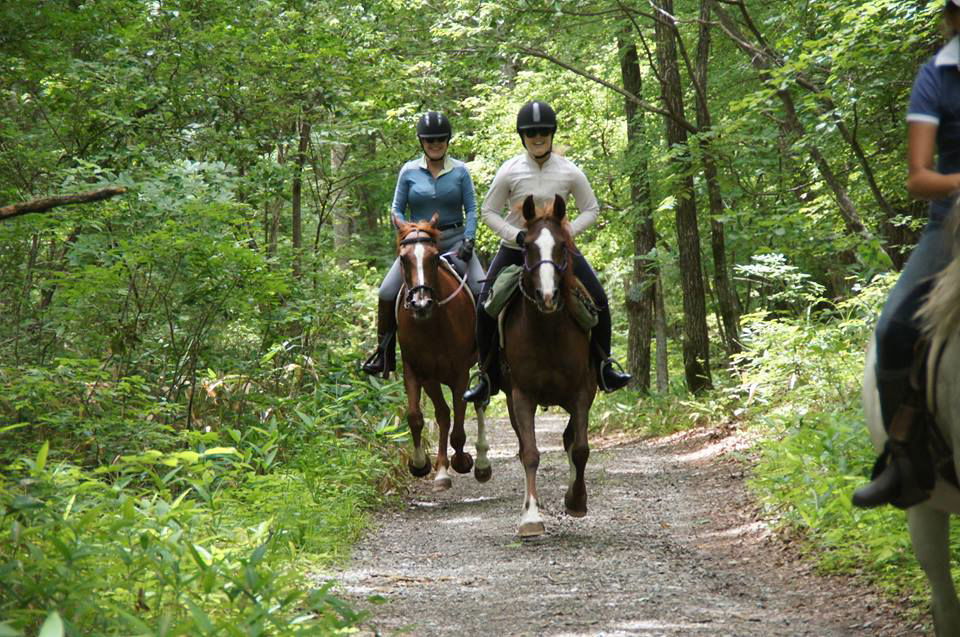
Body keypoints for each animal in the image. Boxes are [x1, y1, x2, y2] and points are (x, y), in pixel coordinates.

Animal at [393, 213, 491, 489]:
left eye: (434, 257)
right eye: (403, 258)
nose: (421, 303)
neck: (432, 325)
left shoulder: (459, 372)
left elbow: (459, 424)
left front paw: (462, 461)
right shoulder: (419, 371)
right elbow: (418, 416)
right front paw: (422, 465)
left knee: (479, 403)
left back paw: (481, 464)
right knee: (446, 413)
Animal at [500, 194, 597, 537]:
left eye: (562, 246)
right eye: (527, 246)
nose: (548, 295)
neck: (547, 332)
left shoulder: (582, 391)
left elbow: (580, 448)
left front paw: (577, 501)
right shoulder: (521, 395)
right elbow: (530, 453)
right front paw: (530, 518)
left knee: (570, 439)